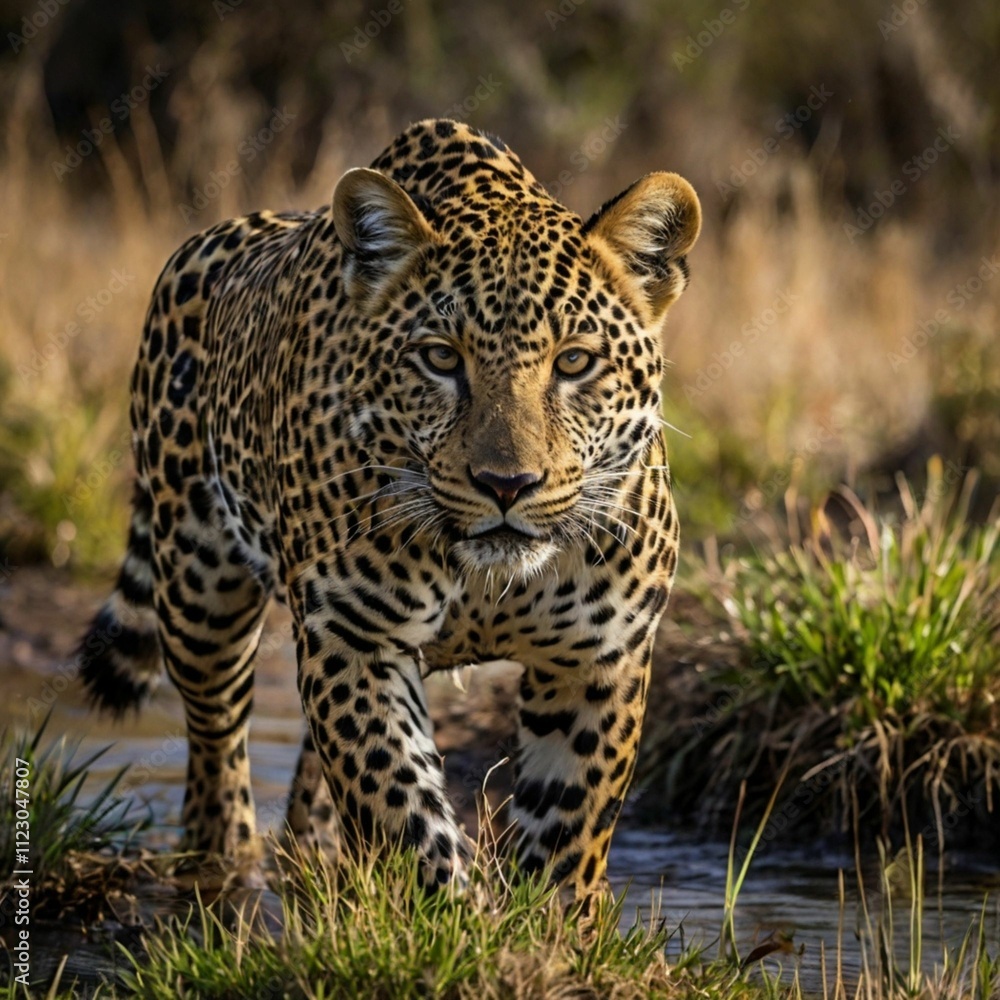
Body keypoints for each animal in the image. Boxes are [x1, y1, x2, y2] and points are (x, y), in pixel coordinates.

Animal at [78, 118, 701, 900]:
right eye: (440, 358)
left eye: (574, 362)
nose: (507, 484)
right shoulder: (353, 640)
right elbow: (402, 810)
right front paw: (458, 920)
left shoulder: (599, 659)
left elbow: (567, 835)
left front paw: (554, 926)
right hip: (199, 590)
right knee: (216, 740)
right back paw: (225, 869)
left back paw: (314, 860)